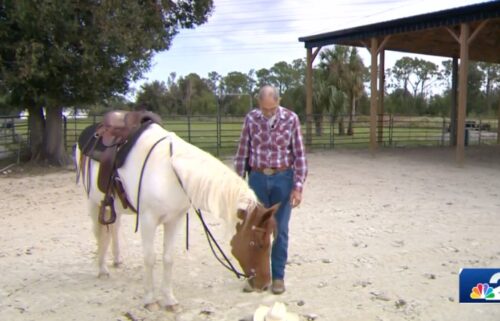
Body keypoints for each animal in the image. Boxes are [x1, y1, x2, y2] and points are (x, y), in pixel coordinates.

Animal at [75, 121, 278, 308]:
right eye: (258, 244)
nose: (264, 284)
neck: (170, 172)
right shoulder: (148, 220)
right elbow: (150, 258)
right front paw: (150, 299)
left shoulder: (174, 220)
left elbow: (168, 258)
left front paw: (169, 299)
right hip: (93, 203)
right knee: (100, 234)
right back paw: (102, 269)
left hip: (113, 207)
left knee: (113, 229)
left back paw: (117, 260)